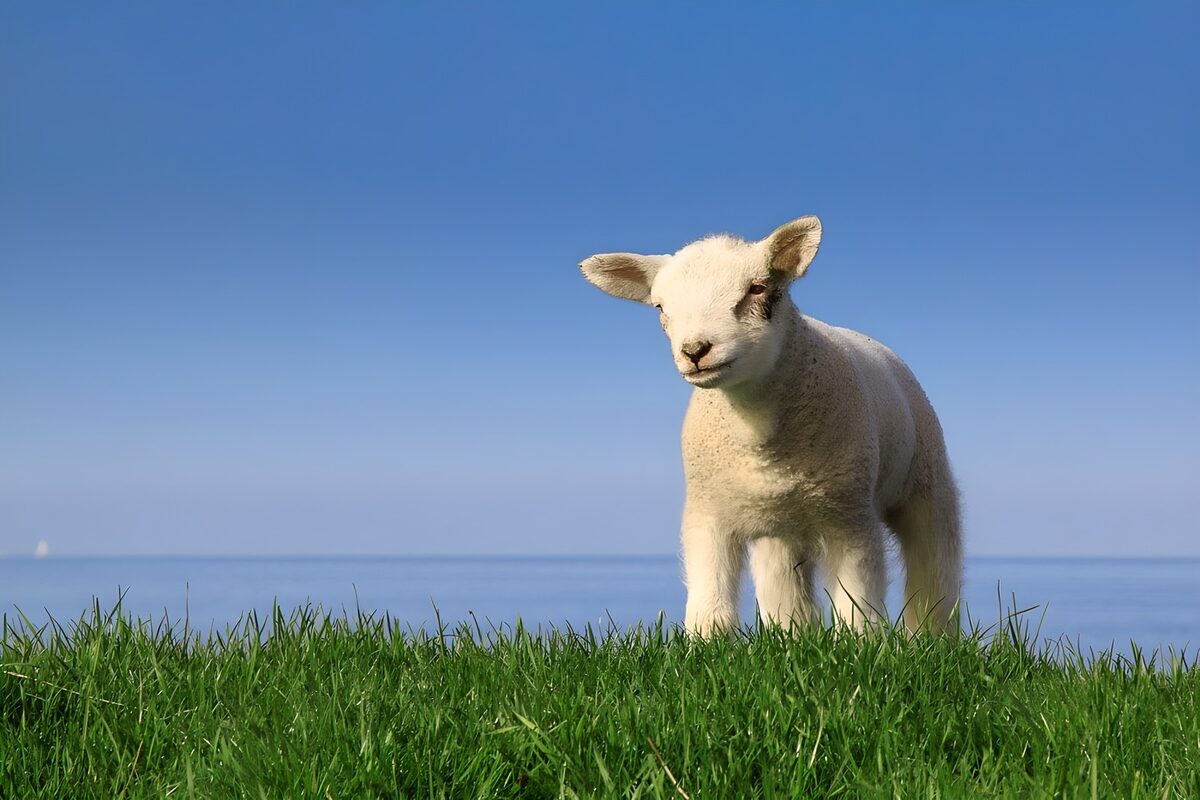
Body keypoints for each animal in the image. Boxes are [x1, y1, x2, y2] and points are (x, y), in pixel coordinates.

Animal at [579, 215, 962, 636]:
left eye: (758, 288)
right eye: (660, 306)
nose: (695, 351)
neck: (757, 431)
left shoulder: (850, 517)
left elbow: (856, 600)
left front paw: (862, 643)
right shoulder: (707, 512)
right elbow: (709, 596)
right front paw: (704, 643)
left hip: (926, 479)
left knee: (935, 560)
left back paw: (930, 635)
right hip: (779, 528)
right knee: (783, 583)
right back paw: (792, 635)